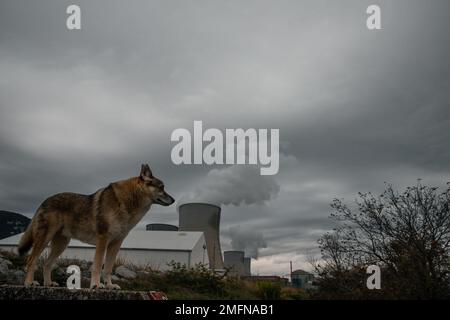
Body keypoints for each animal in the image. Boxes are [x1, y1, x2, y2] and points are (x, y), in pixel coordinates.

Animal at [16, 165, 174, 290]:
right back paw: (29, 283)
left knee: (46, 264)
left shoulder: (116, 244)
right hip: (45, 239)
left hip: (61, 245)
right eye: (161, 187)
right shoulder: (103, 240)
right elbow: (98, 266)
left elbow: (108, 268)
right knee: (31, 260)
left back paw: (49, 284)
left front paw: (110, 285)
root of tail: (44, 201)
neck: (127, 203)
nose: (173, 200)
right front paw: (96, 285)